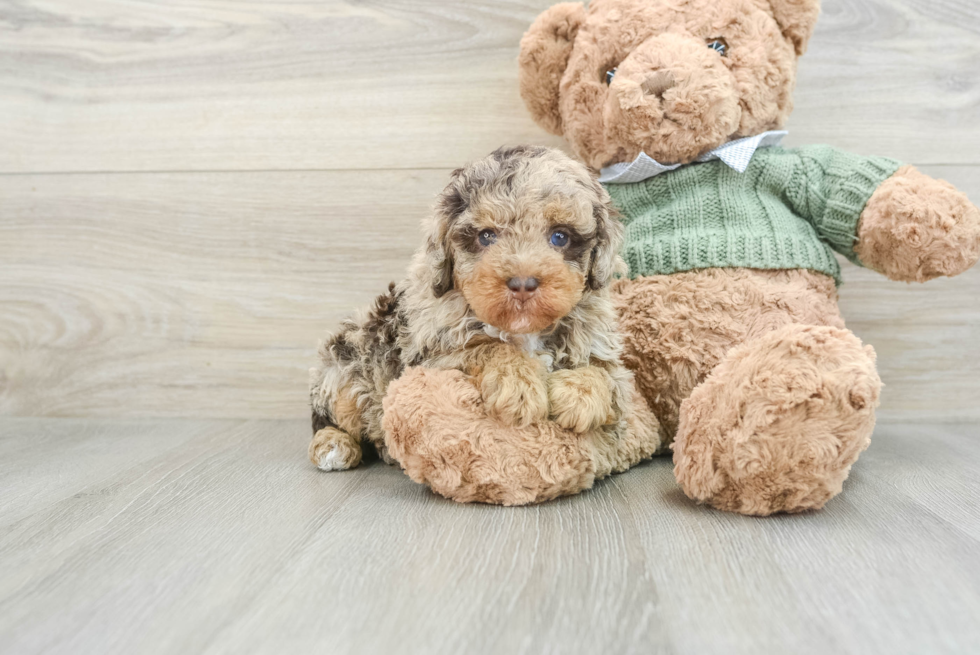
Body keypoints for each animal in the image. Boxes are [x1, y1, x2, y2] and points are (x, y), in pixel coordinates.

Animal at [310, 144, 640, 472]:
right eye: (486, 236)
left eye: (560, 236)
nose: (523, 283)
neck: (524, 330)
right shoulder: (430, 357)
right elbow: (487, 346)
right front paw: (518, 385)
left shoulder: (602, 348)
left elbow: (606, 374)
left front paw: (579, 395)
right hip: (347, 367)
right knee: (328, 414)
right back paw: (333, 444)